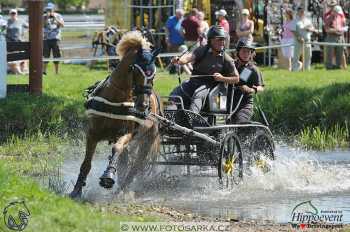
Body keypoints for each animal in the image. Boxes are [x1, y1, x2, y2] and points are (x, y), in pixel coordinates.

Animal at [70, 29, 163, 198]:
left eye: (153, 75)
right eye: (135, 69)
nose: (143, 106)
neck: (115, 99)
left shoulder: (127, 133)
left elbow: (117, 149)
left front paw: (108, 176)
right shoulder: (92, 133)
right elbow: (87, 163)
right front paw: (77, 189)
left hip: (148, 140)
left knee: (136, 166)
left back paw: (122, 190)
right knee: (126, 163)